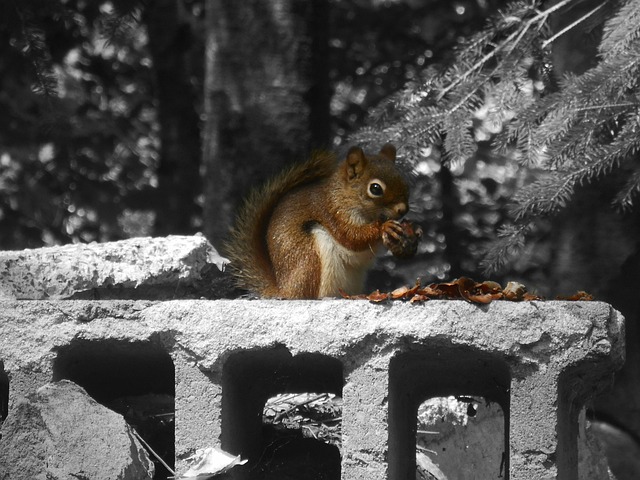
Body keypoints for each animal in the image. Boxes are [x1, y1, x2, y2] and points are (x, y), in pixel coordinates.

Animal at [226, 144, 420, 298]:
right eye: (375, 188)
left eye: (404, 181)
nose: (403, 209)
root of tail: (284, 290)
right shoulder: (332, 212)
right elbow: (351, 237)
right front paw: (384, 228)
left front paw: (414, 233)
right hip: (309, 258)